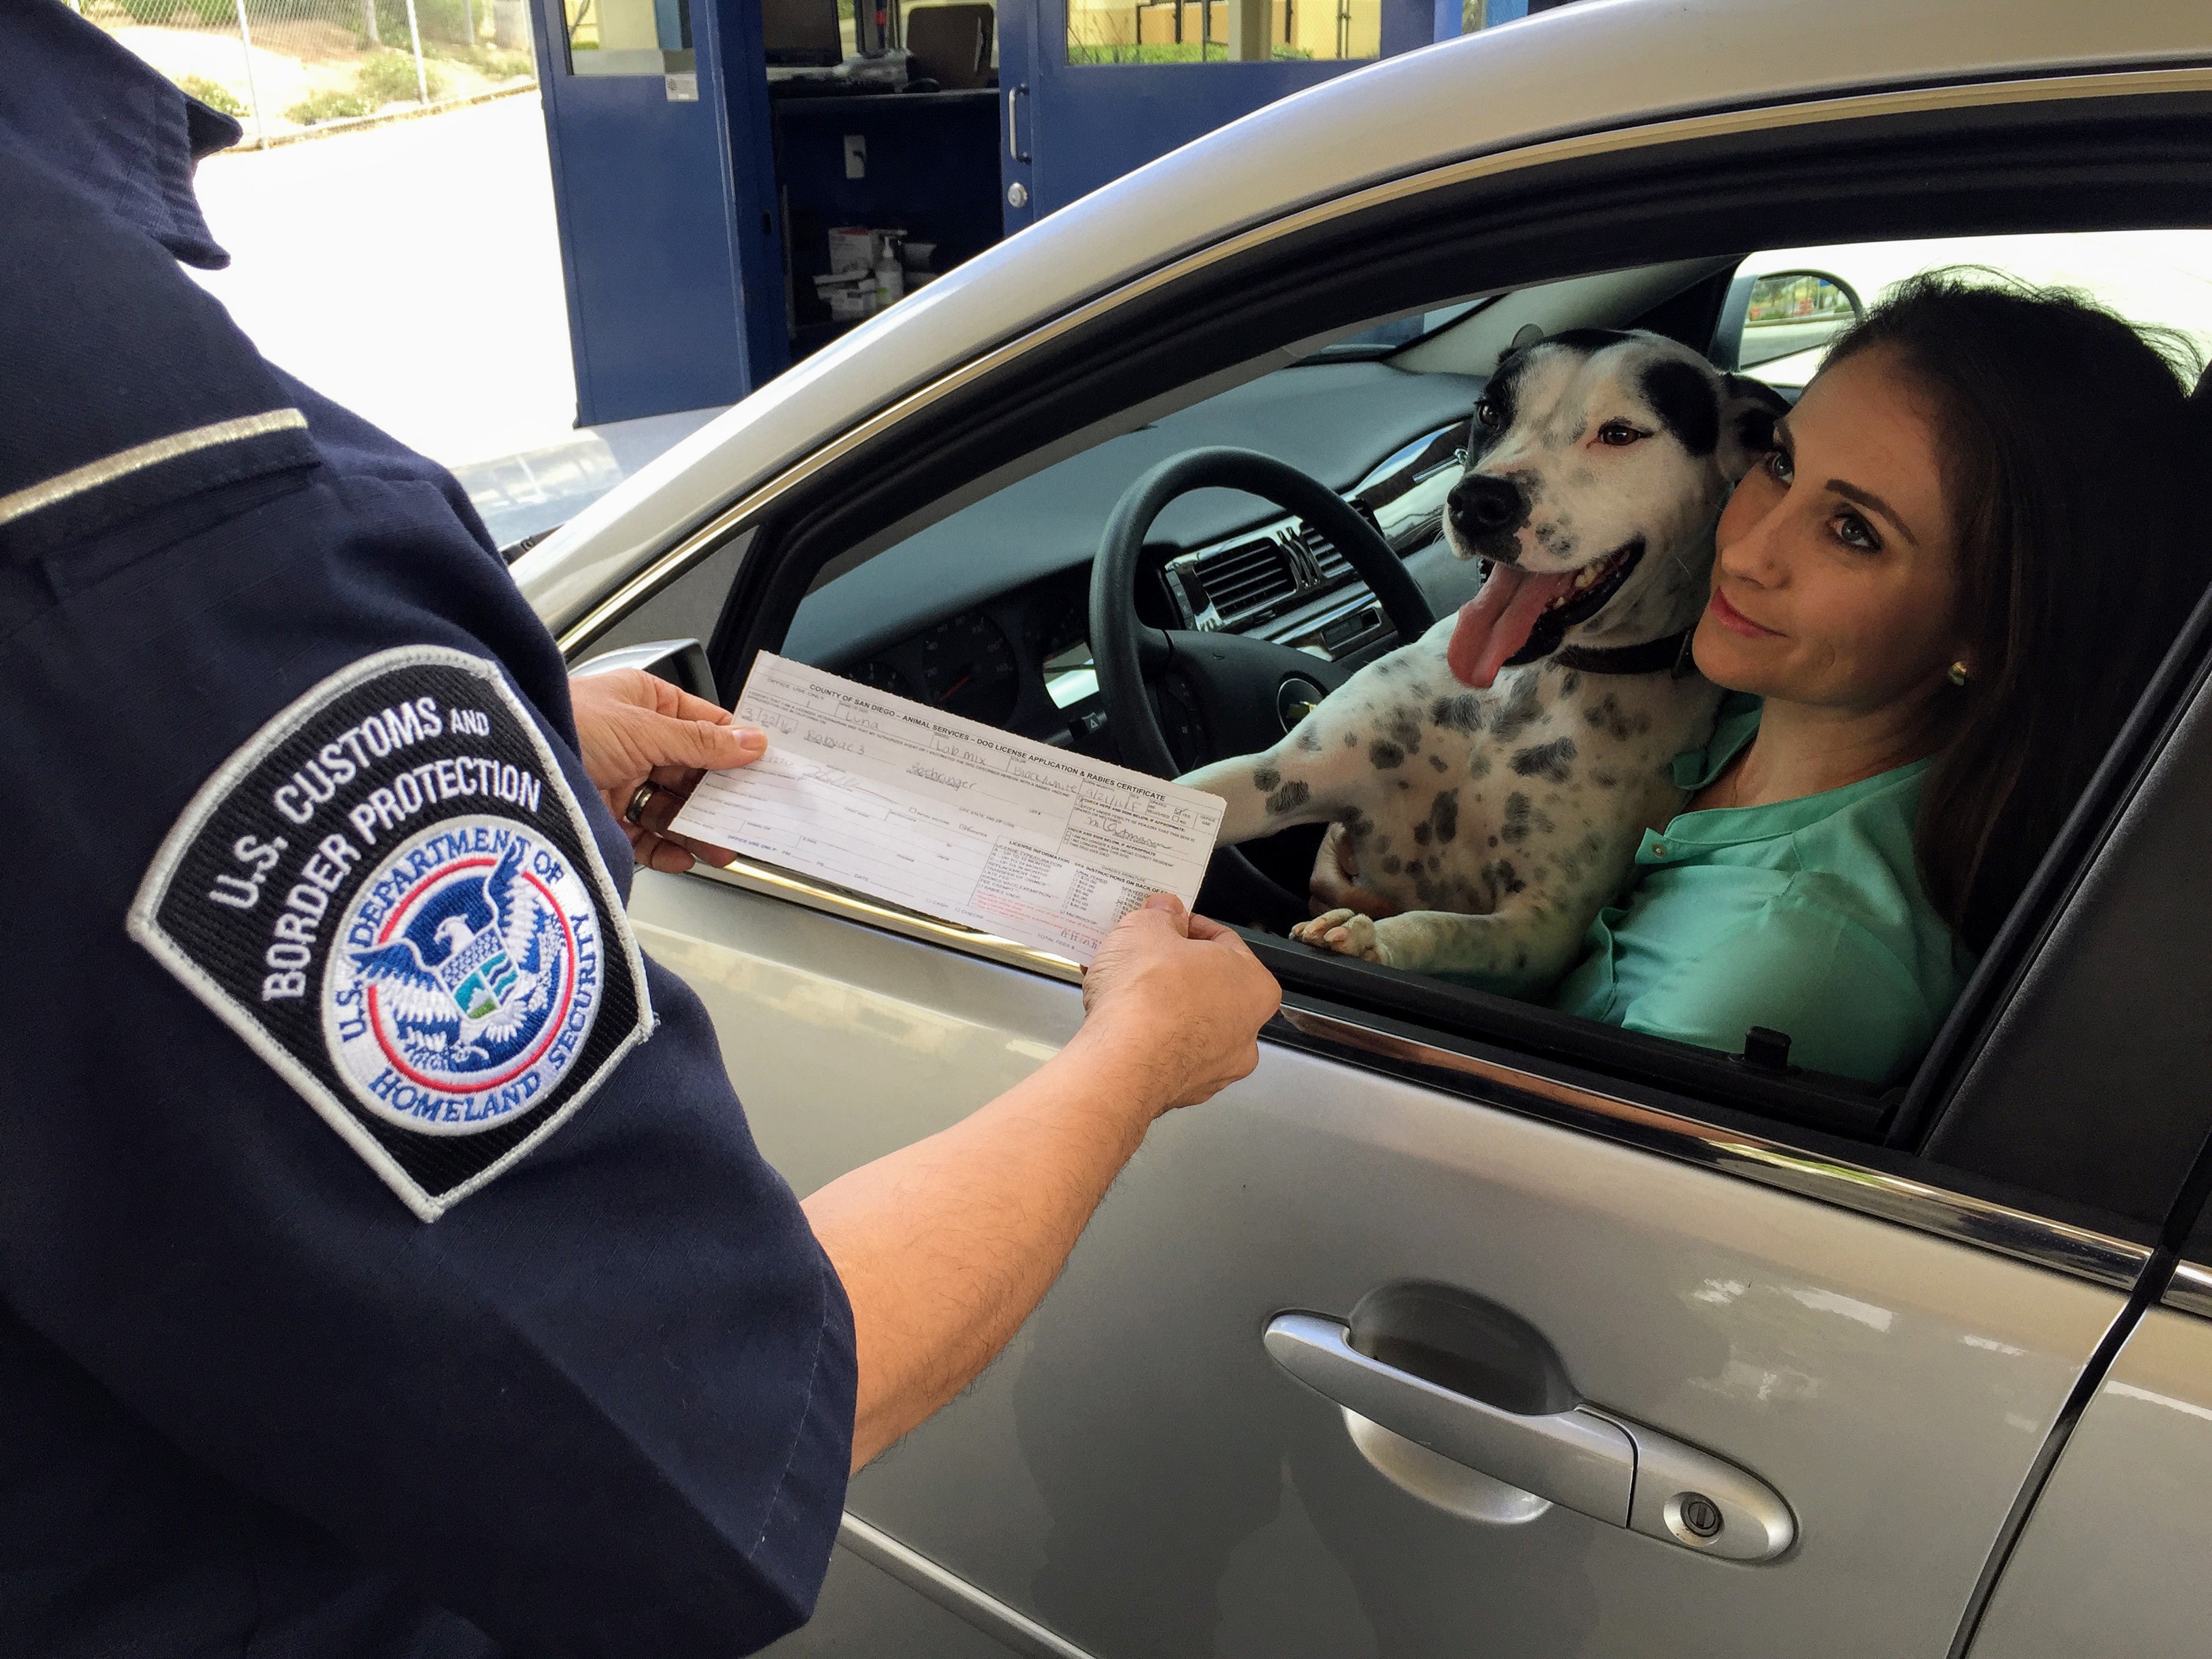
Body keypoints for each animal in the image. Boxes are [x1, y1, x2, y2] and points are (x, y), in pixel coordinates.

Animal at [1185, 331, 1787, 995]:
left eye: (1621, 433)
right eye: (1492, 412)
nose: (1477, 501)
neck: (1530, 683)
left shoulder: (1543, 928)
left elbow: (1442, 928)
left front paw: (1374, 938)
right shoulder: (1279, 775)